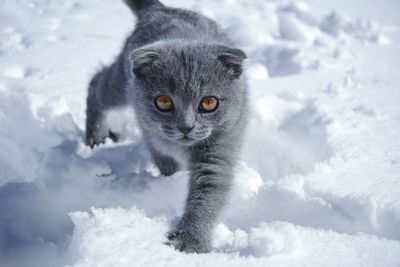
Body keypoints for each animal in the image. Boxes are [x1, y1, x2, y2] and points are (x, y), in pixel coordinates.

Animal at [85, 0, 247, 254]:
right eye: (163, 102)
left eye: (209, 103)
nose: (186, 126)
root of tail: (161, 8)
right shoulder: (152, 134)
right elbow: (164, 160)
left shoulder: (220, 148)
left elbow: (208, 194)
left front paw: (191, 241)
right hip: (122, 84)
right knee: (97, 83)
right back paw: (96, 136)